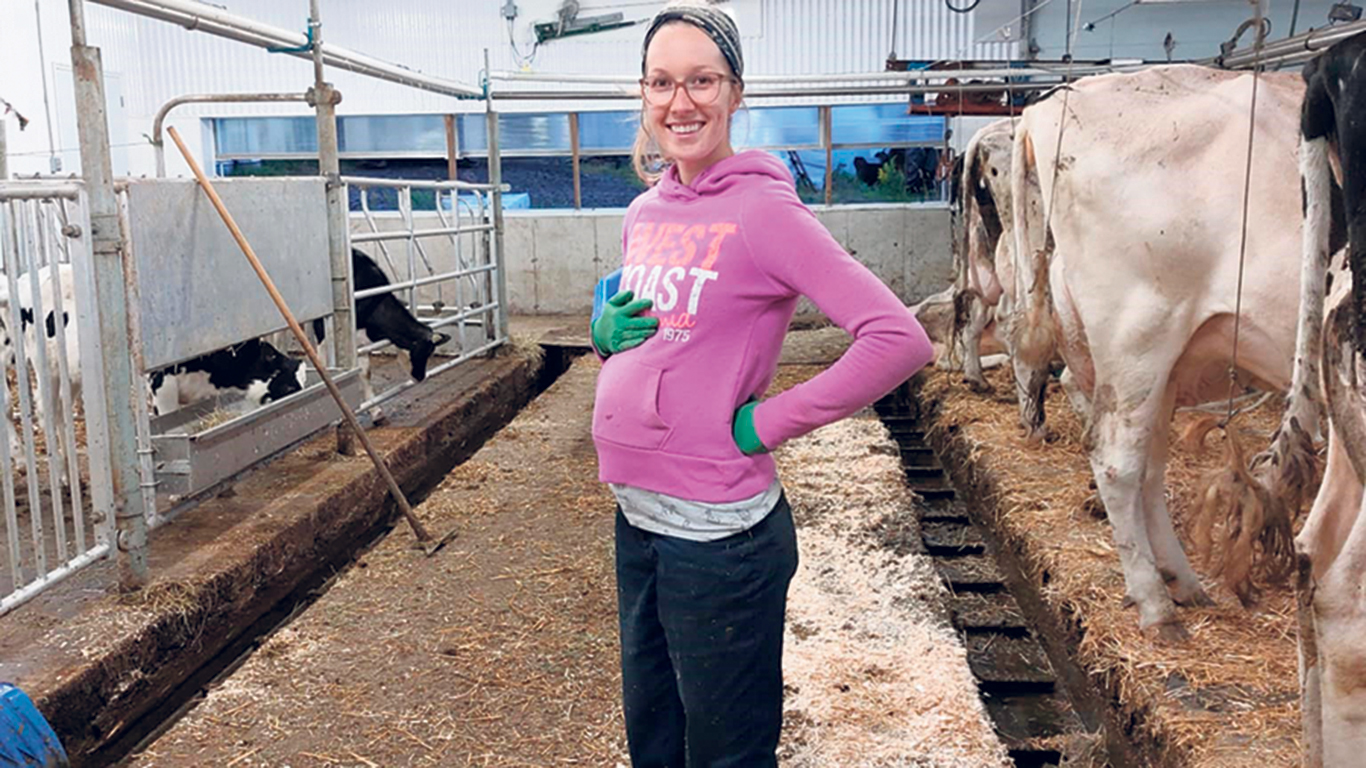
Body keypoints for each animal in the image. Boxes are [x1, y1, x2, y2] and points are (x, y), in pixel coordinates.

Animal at [1010, 65, 1316, 636]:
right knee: (1118, 463)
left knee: (1148, 466)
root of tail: (1044, 107)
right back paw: (1155, 602)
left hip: (1165, 357)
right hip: (1140, 331)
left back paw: (1183, 581)